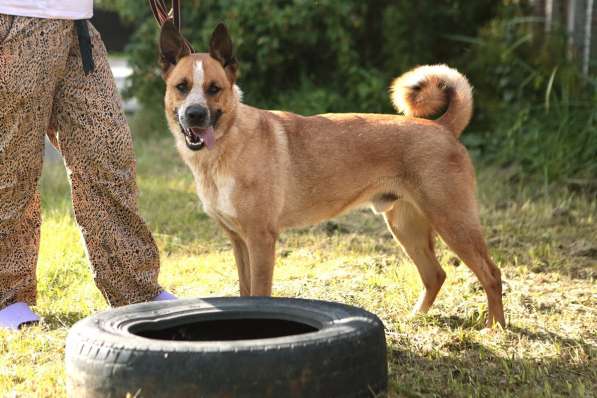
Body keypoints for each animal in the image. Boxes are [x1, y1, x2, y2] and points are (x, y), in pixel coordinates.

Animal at [157, 22, 502, 326]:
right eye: (182, 87)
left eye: (214, 89)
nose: (195, 115)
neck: (226, 146)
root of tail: (442, 127)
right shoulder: (238, 241)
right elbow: (245, 293)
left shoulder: (260, 239)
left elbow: (259, 292)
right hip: (407, 227)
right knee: (435, 274)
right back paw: (415, 318)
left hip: (454, 222)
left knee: (491, 274)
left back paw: (493, 328)